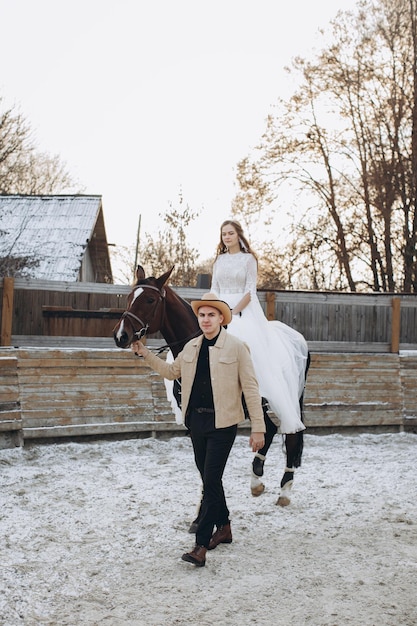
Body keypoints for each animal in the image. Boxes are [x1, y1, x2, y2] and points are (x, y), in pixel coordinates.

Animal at [114, 264, 308, 512]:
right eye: (130, 298)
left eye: (149, 299)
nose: (121, 335)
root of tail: (296, 338)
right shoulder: (192, 419)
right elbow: (202, 464)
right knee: (270, 429)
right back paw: (256, 479)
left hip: (289, 397)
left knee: (292, 434)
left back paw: (285, 489)